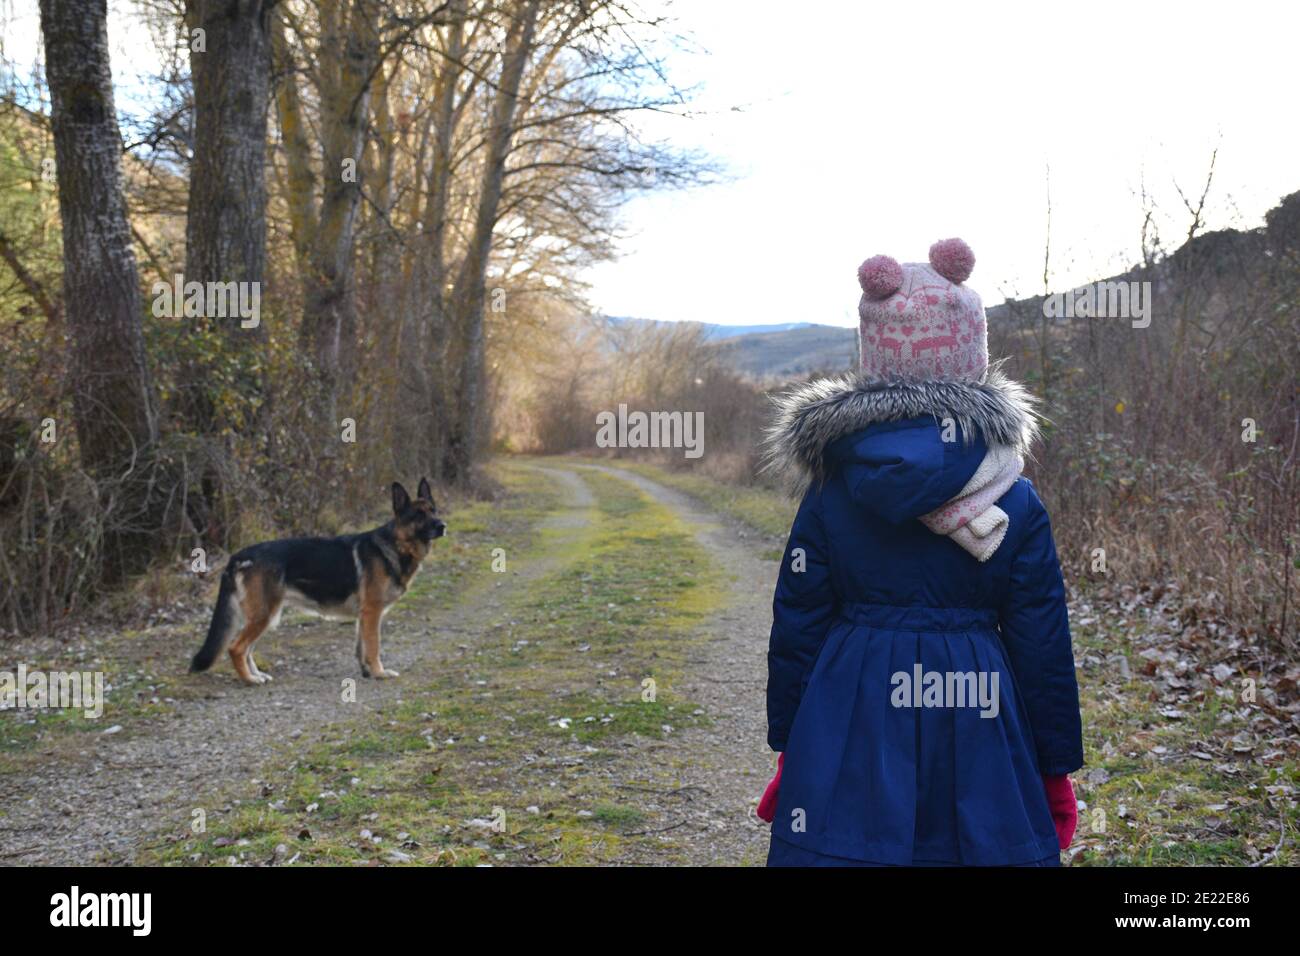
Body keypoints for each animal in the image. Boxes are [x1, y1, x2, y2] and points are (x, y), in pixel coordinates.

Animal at [189, 481, 447, 686]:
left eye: (433, 511)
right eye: (419, 515)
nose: (442, 525)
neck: (396, 545)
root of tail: (239, 556)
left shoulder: (364, 615)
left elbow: (361, 647)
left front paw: (366, 672)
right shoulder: (372, 612)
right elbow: (373, 646)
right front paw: (379, 672)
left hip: (265, 615)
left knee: (246, 649)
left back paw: (257, 675)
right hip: (264, 615)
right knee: (236, 648)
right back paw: (249, 680)